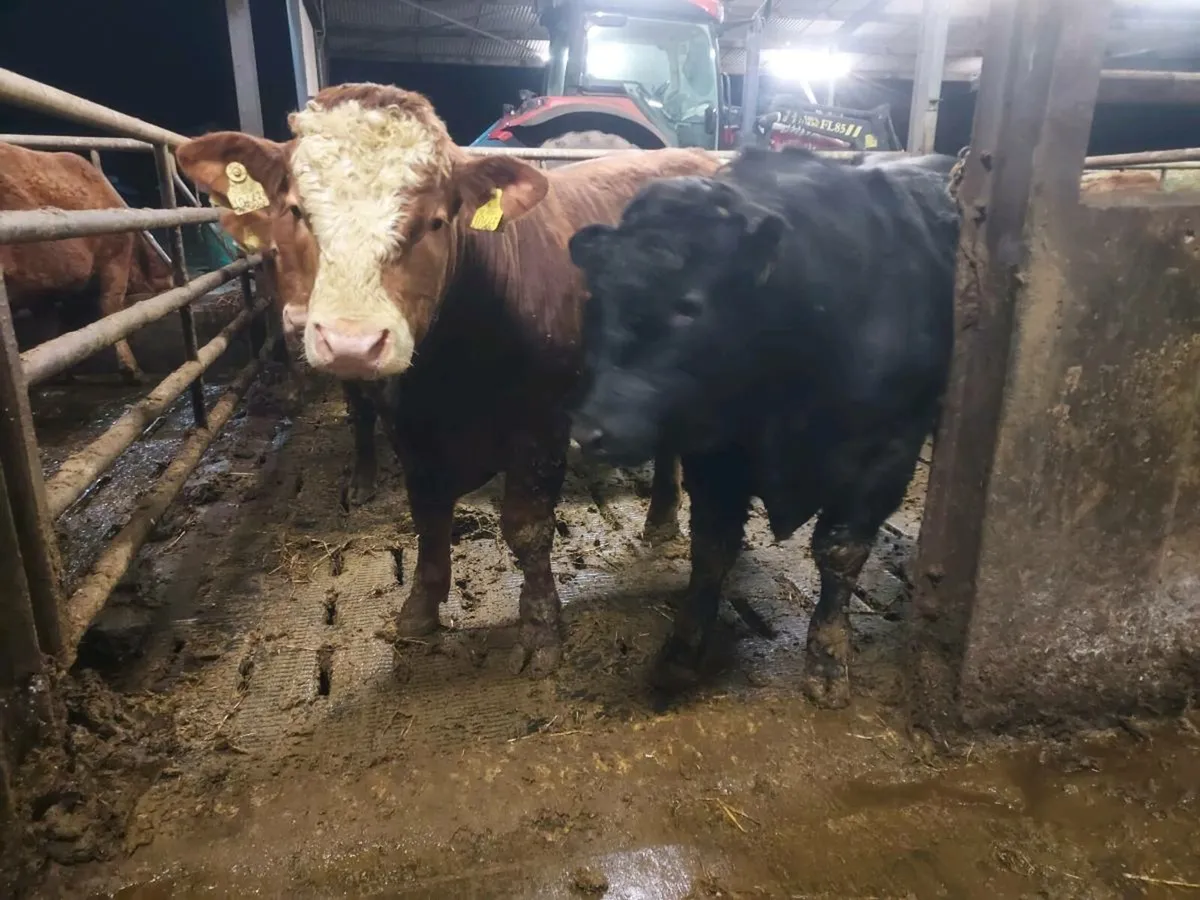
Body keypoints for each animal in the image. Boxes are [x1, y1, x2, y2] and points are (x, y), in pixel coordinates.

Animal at [0, 142, 175, 382]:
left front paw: (61, 374)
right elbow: (111, 309)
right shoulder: (116, 257)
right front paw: (133, 371)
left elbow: (49, 329)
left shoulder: (43, 291)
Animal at [174, 83, 723, 676]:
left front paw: (541, 626)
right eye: (297, 211)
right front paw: (420, 608)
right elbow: (429, 515)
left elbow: (527, 528)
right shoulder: (409, 428)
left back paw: (663, 517)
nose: (351, 342)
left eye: (436, 221)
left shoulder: (543, 426)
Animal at [567, 146, 959, 707]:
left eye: (689, 305)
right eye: (593, 299)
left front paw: (827, 661)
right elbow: (711, 548)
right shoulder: (717, 454)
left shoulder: (888, 448)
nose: (591, 430)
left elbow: (840, 551)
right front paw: (681, 651)